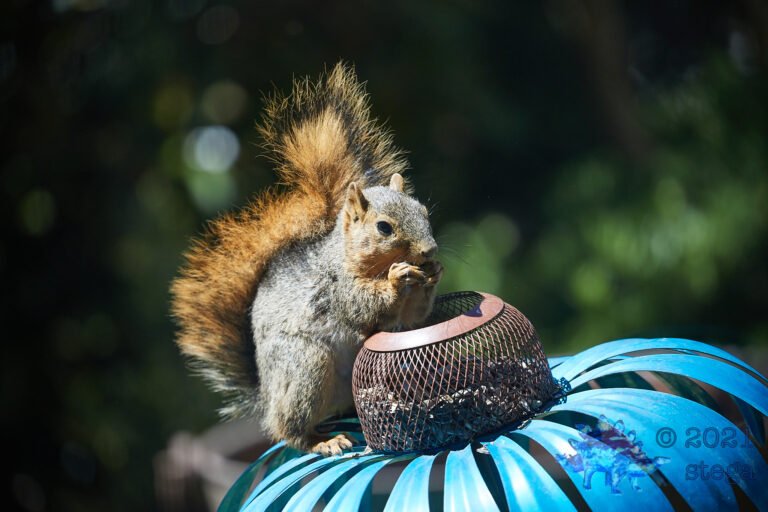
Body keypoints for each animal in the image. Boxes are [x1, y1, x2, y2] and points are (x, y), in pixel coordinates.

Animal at [171, 62, 443, 456]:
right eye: (383, 227)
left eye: (423, 211)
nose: (429, 251)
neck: (344, 254)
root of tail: (266, 397)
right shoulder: (335, 286)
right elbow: (361, 305)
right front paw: (395, 278)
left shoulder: (400, 319)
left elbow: (411, 320)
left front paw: (432, 273)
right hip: (304, 364)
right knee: (289, 429)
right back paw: (323, 441)